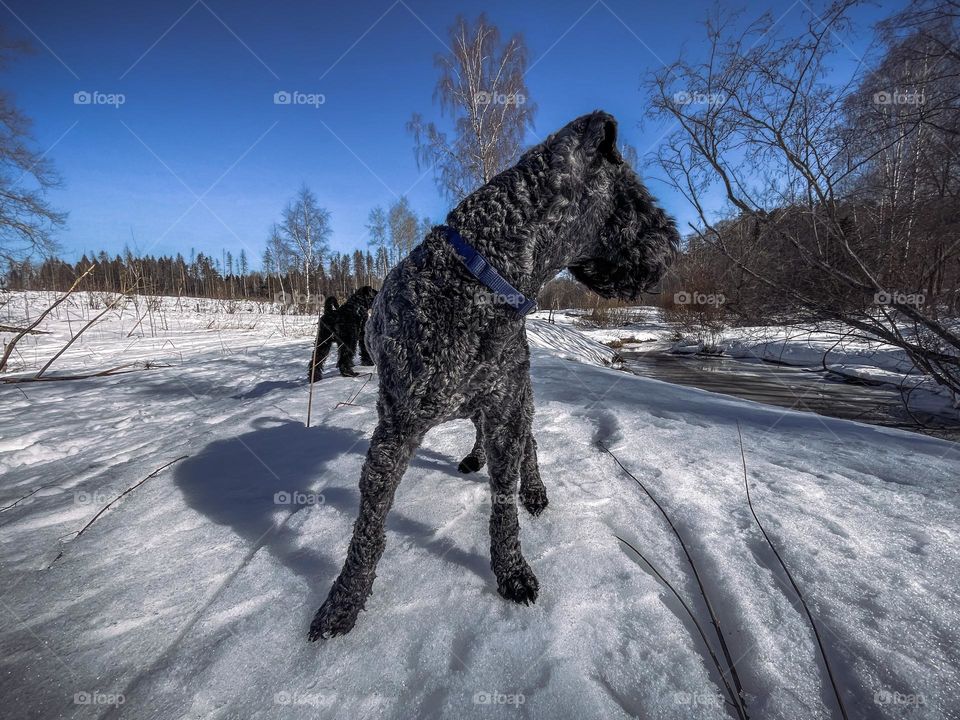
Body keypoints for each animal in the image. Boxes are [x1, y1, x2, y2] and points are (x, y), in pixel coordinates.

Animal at [312, 109, 680, 640]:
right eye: (638, 200)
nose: (673, 245)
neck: (481, 277)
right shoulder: (395, 430)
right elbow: (369, 527)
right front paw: (344, 599)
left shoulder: (505, 409)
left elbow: (504, 504)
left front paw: (512, 570)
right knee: (481, 432)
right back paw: (473, 458)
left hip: (517, 395)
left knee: (530, 444)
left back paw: (534, 488)